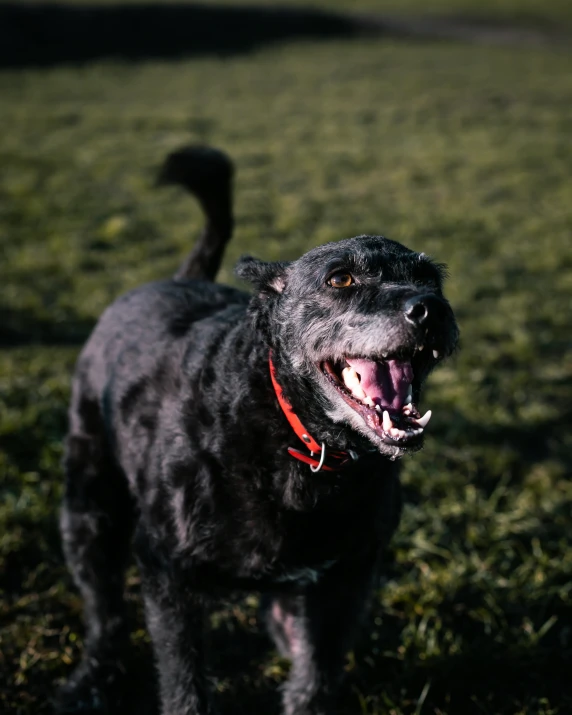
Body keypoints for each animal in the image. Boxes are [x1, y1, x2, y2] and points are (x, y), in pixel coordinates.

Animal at [58, 147, 458, 715]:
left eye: (431, 279)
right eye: (340, 279)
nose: (431, 309)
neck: (295, 438)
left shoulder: (348, 575)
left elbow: (316, 673)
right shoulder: (167, 573)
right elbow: (184, 682)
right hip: (88, 503)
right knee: (104, 608)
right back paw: (93, 677)